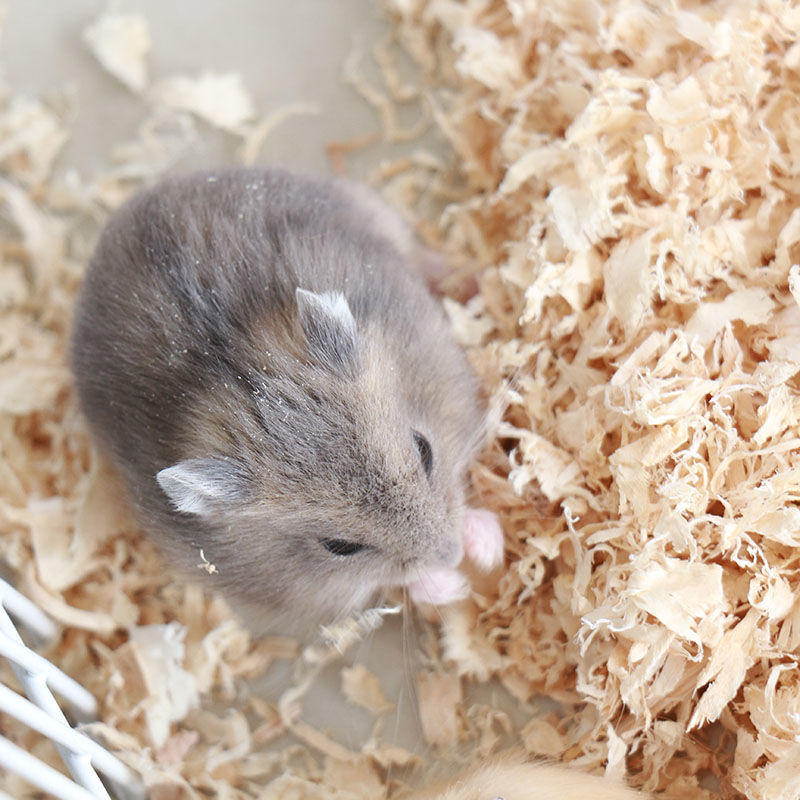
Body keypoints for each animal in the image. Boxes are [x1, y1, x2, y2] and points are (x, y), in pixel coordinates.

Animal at [70, 167, 502, 632]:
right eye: (339, 546)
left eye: (424, 451)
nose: (452, 556)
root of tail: (122, 216)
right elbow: (396, 583)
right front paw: (458, 584)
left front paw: (489, 547)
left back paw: (470, 276)